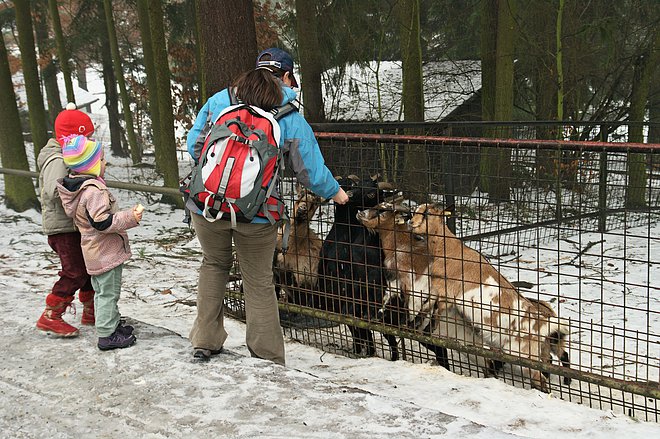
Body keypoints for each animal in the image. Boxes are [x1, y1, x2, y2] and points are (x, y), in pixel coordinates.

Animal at [408, 205, 568, 394]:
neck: (449, 250)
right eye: (415, 211)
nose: (410, 222)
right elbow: (425, 308)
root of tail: (542, 324)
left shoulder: (447, 294)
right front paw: (412, 326)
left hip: (522, 352)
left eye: (427, 214)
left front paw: (426, 334)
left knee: (540, 378)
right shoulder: (437, 290)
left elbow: (433, 316)